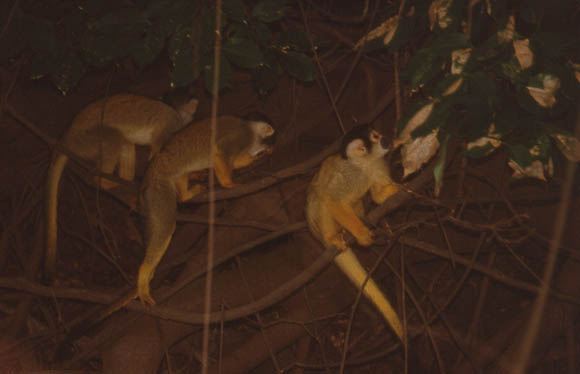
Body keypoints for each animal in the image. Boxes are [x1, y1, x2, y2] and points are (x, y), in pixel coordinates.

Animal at [45, 93, 199, 280]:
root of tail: (67, 135)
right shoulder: (169, 123)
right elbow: (158, 156)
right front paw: (184, 190)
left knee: (126, 143)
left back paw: (126, 183)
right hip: (84, 140)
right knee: (114, 138)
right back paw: (105, 181)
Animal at [137, 114, 276, 304]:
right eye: (263, 143)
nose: (261, 152)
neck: (249, 127)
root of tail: (148, 176)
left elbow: (235, 161)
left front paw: (251, 159)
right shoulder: (242, 134)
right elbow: (220, 151)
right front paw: (228, 184)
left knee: (182, 176)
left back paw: (186, 195)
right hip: (159, 189)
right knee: (164, 229)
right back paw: (143, 277)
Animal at [306, 125, 406, 342]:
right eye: (376, 136)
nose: (387, 137)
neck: (364, 164)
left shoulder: (376, 166)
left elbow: (377, 196)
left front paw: (395, 190)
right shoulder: (348, 173)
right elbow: (332, 198)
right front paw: (361, 233)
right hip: (317, 226)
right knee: (321, 196)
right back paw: (333, 236)